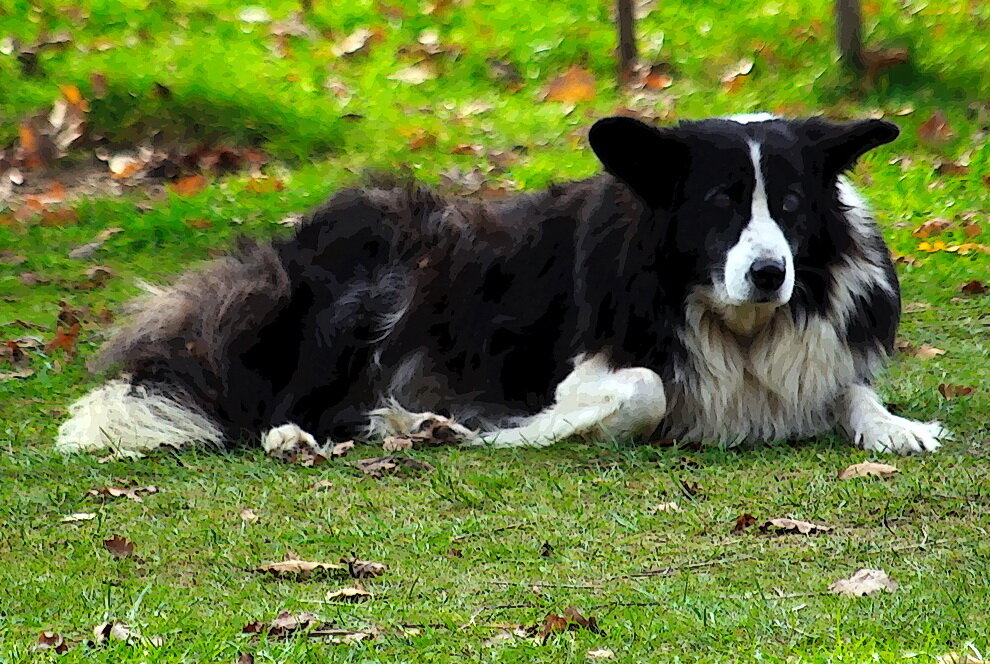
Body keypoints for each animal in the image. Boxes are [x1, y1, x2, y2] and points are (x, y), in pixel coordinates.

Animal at [56, 114, 944, 456]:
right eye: (720, 206)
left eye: (789, 209)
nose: (769, 273)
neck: (737, 323)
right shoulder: (591, 362)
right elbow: (646, 389)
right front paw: (540, 429)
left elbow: (851, 388)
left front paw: (894, 424)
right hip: (372, 289)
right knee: (278, 401)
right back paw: (300, 436)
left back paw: (416, 423)